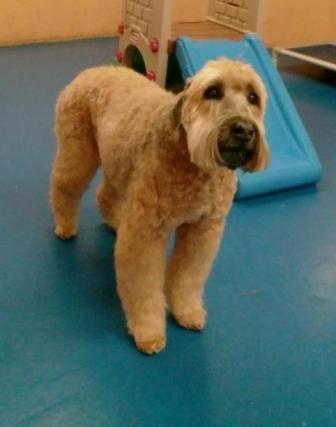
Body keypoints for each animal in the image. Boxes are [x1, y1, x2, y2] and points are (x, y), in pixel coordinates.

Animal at [50, 59, 270, 354]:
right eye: (212, 91)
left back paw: (115, 222)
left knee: (105, 195)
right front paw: (149, 331)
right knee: (64, 189)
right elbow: (144, 288)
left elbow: (187, 277)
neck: (192, 161)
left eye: (253, 97)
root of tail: (93, 70)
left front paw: (187, 311)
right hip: (78, 156)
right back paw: (64, 226)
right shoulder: (146, 234)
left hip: (118, 166)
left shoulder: (202, 231)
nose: (244, 129)